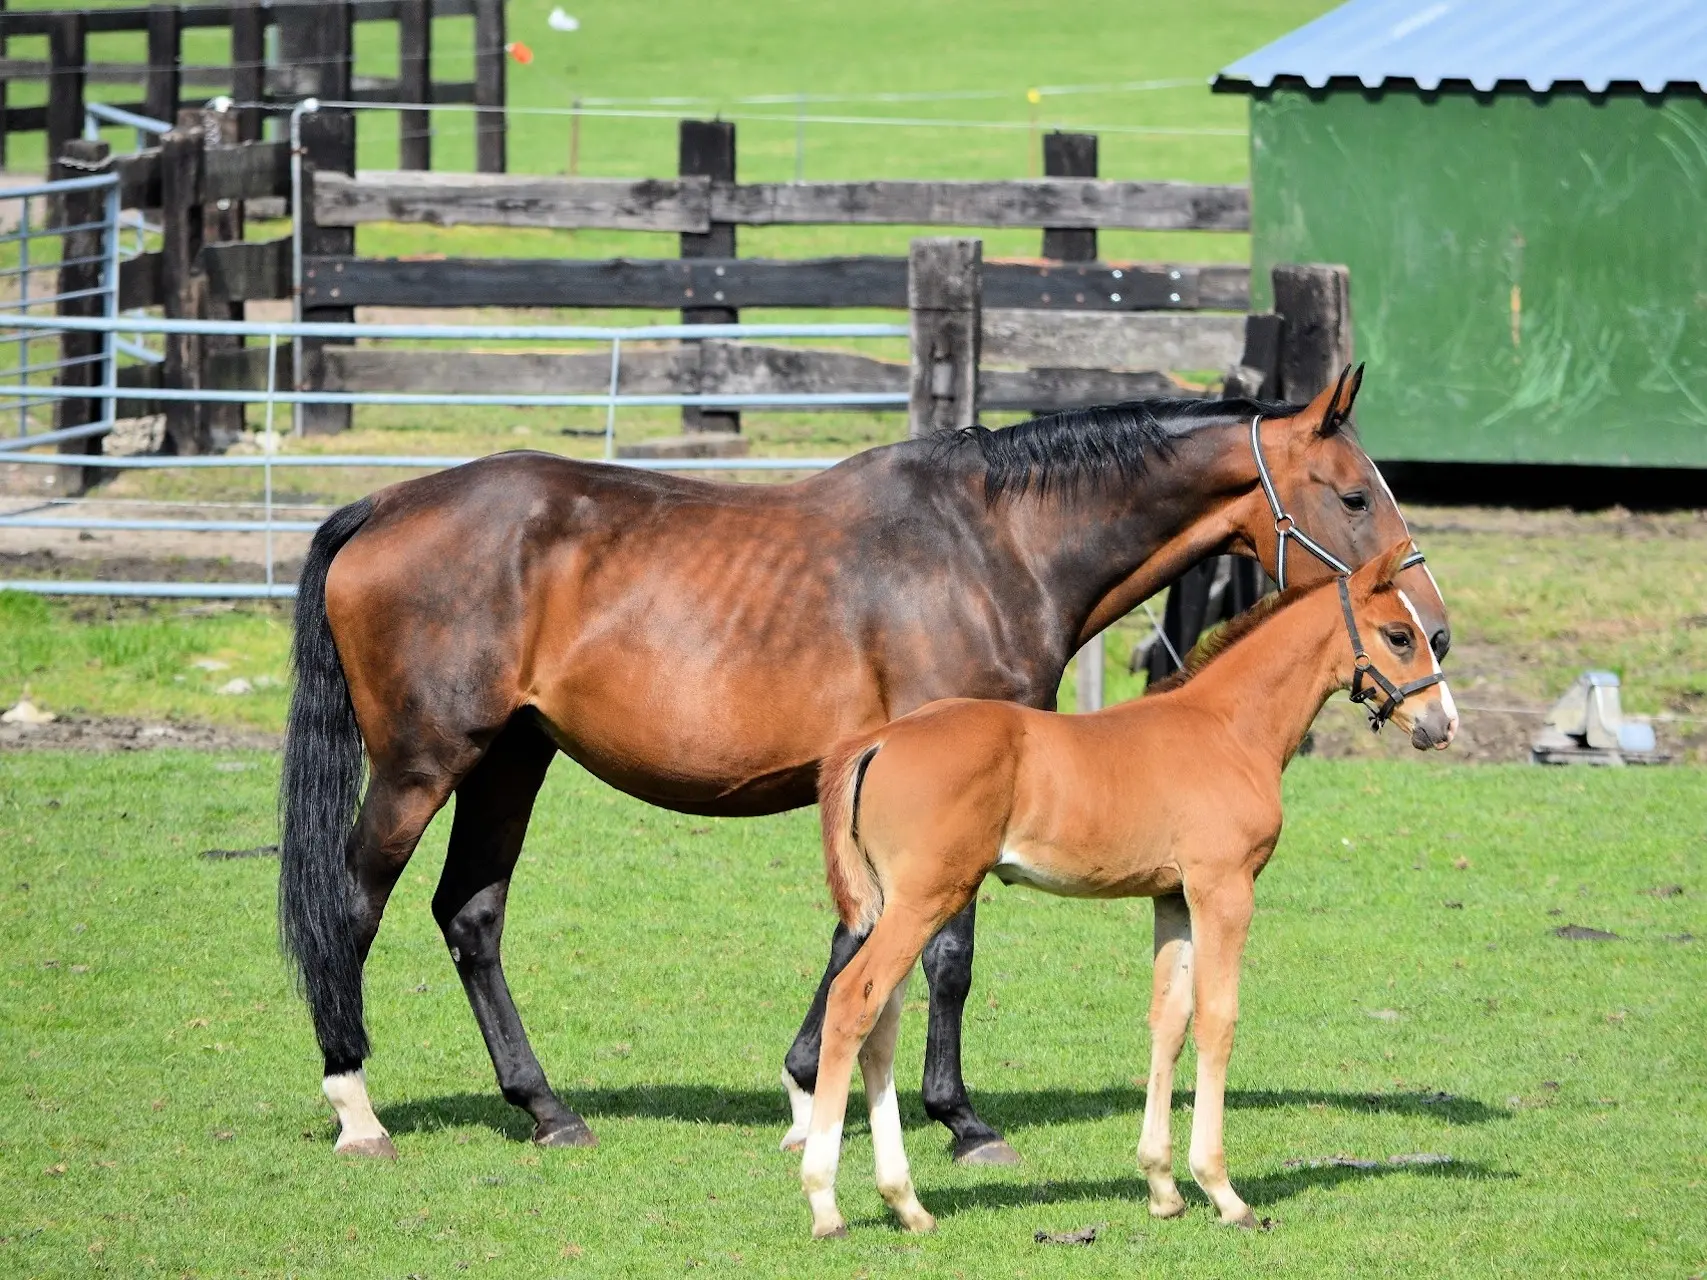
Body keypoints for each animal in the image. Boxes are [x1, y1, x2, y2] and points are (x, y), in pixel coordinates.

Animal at [798, 542, 1454, 1242]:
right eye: (1400, 635)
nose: (1443, 723)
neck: (1226, 728)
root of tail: (879, 739)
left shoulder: (1174, 899)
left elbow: (1169, 1020)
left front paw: (1164, 1187)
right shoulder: (1224, 889)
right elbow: (1217, 1018)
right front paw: (1223, 1192)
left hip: (899, 905)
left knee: (881, 1024)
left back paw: (906, 1203)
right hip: (926, 899)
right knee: (854, 1001)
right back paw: (826, 1203)